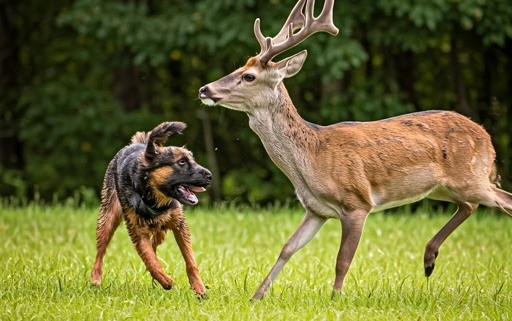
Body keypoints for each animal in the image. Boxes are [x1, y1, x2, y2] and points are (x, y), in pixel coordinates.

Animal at [91, 121, 211, 296]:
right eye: (181, 162)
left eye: (192, 160)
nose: (210, 176)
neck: (154, 197)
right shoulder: (137, 230)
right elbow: (149, 260)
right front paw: (165, 280)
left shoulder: (179, 224)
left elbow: (190, 259)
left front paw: (199, 288)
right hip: (108, 216)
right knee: (101, 250)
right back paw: (96, 278)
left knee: (156, 240)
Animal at [198, 0, 512, 298]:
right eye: (238, 69)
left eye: (249, 76)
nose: (204, 89)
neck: (312, 160)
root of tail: (487, 137)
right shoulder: (316, 209)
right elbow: (287, 247)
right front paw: (257, 296)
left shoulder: (357, 202)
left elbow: (342, 260)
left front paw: (335, 299)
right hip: (443, 188)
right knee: (469, 205)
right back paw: (429, 259)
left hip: (471, 177)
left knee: (502, 200)